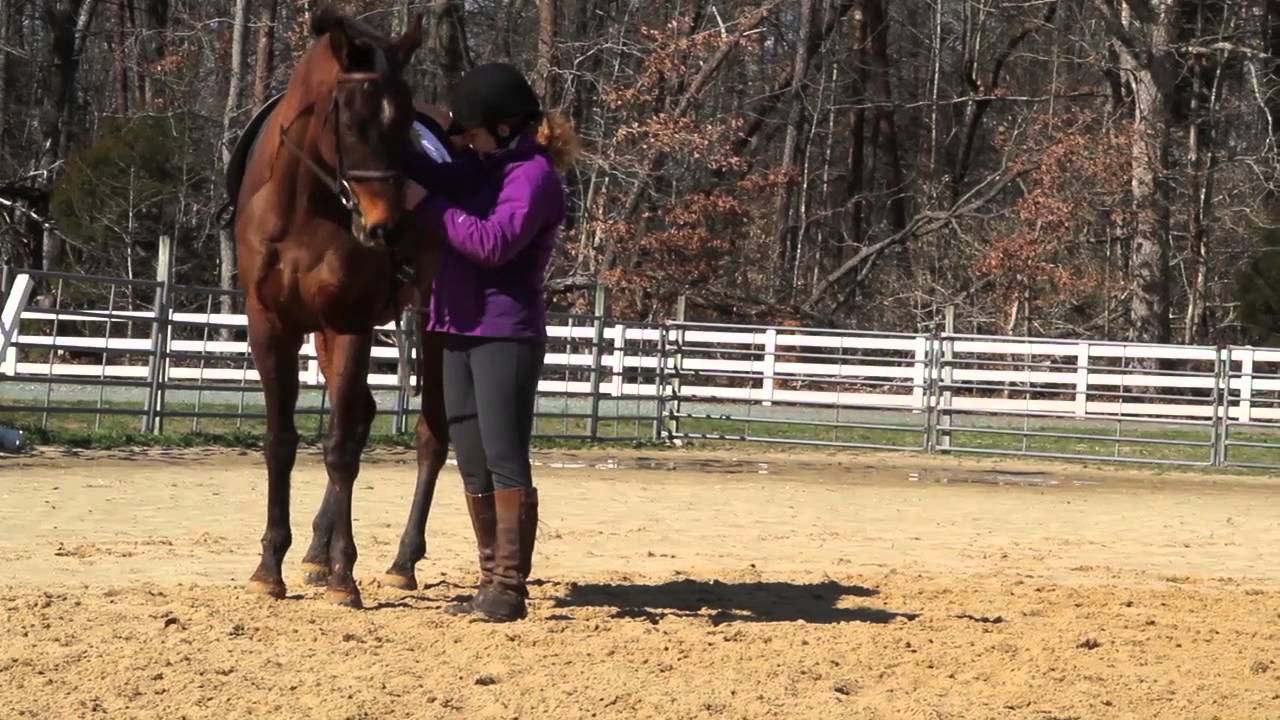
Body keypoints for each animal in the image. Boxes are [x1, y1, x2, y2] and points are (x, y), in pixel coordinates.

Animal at [228, 8, 450, 608]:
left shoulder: (348, 321)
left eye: (404, 126)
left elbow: (340, 449)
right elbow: (282, 442)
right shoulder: (271, 326)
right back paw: (315, 553)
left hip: (432, 323)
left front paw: (344, 575)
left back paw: (401, 562)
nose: (386, 227)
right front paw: (270, 567)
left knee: (429, 436)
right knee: (364, 414)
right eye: (352, 122)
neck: (302, 204)